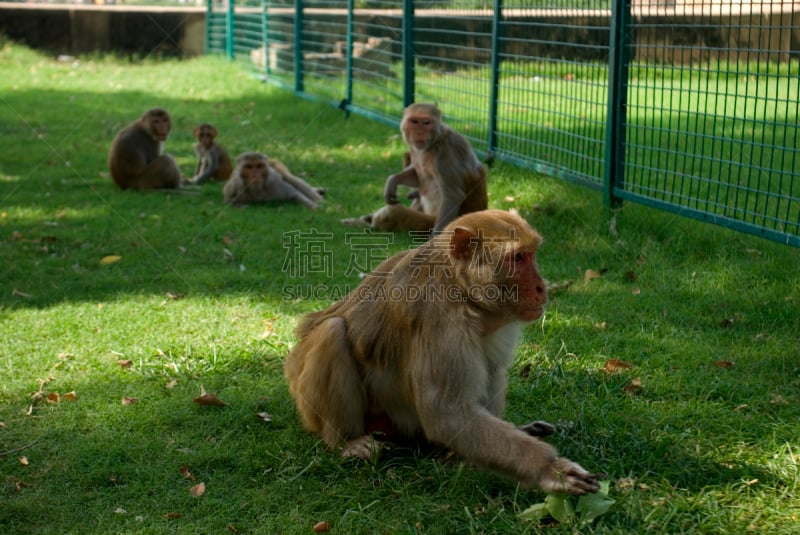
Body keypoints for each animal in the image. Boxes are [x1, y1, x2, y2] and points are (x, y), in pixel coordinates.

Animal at [286, 210, 600, 498]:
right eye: (517, 258)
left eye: (531, 255)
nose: (541, 287)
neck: (461, 290)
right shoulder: (441, 319)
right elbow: (447, 412)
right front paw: (551, 470)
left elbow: (490, 373)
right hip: (317, 407)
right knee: (333, 333)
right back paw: (347, 442)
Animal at [340, 104, 484, 234]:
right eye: (414, 122)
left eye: (426, 122)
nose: (419, 132)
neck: (433, 143)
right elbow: (417, 176)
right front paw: (392, 180)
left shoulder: (445, 154)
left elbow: (453, 195)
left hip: (428, 221)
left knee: (394, 211)